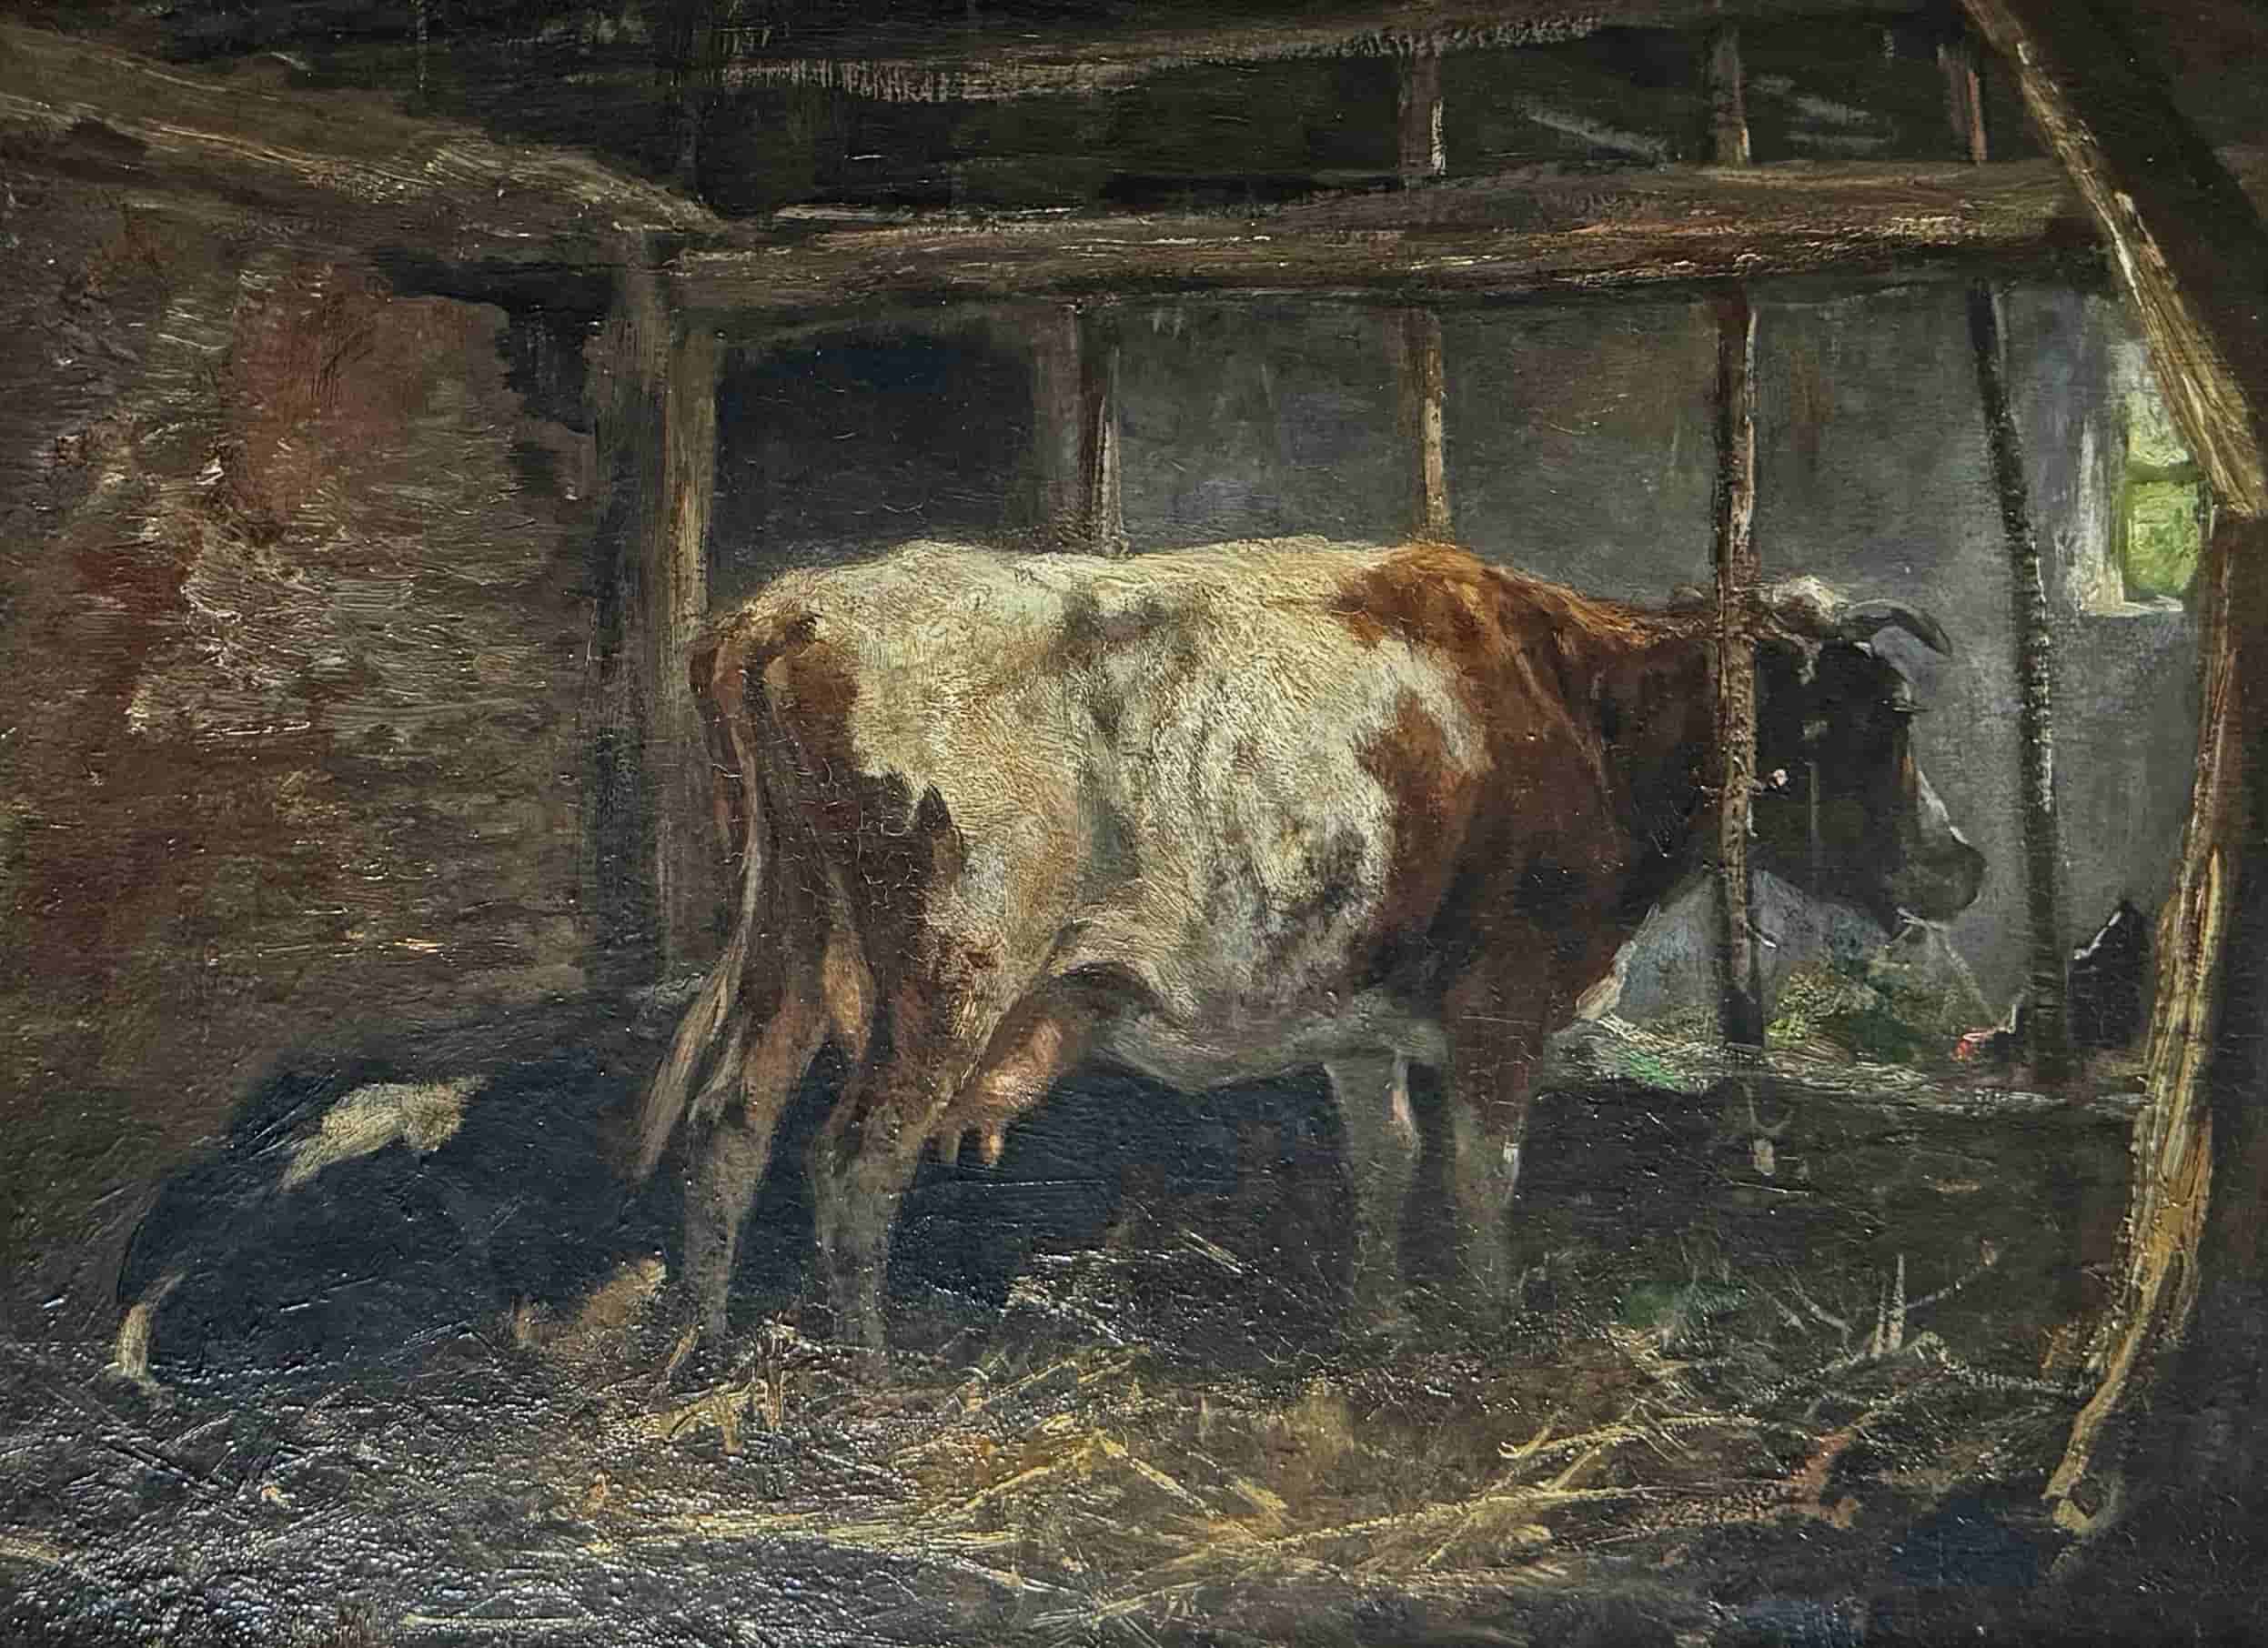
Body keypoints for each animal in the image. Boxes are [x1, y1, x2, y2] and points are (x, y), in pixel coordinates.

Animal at [633, 536, 1986, 1353]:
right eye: (1883, 714)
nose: (1963, 865)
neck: (1577, 707)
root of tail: (797, 605)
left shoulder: (1360, 1012)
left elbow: (1385, 1162)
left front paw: (1378, 1323)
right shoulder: (1502, 1001)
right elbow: (1482, 1170)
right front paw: (1491, 1326)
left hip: (791, 943)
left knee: (732, 1124)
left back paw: (703, 1344)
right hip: (946, 974)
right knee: (856, 1158)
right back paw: (866, 1380)